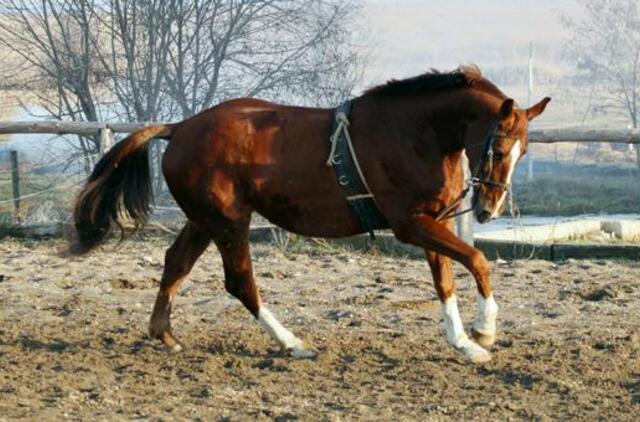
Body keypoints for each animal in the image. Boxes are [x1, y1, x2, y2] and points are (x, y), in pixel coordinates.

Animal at [70, 66, 552, 362]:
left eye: (524, 151)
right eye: (499, 148)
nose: (489, 208)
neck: (418, 134)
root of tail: (180, 128)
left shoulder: (436, 220)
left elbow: (446, 281)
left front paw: (465, 344)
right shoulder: (411, 224)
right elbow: (478, 259)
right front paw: (485, 329)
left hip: (205, 220)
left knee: (176, 264)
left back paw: (166, 335)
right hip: (229, 222)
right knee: (239, 282)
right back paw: (292, 343)